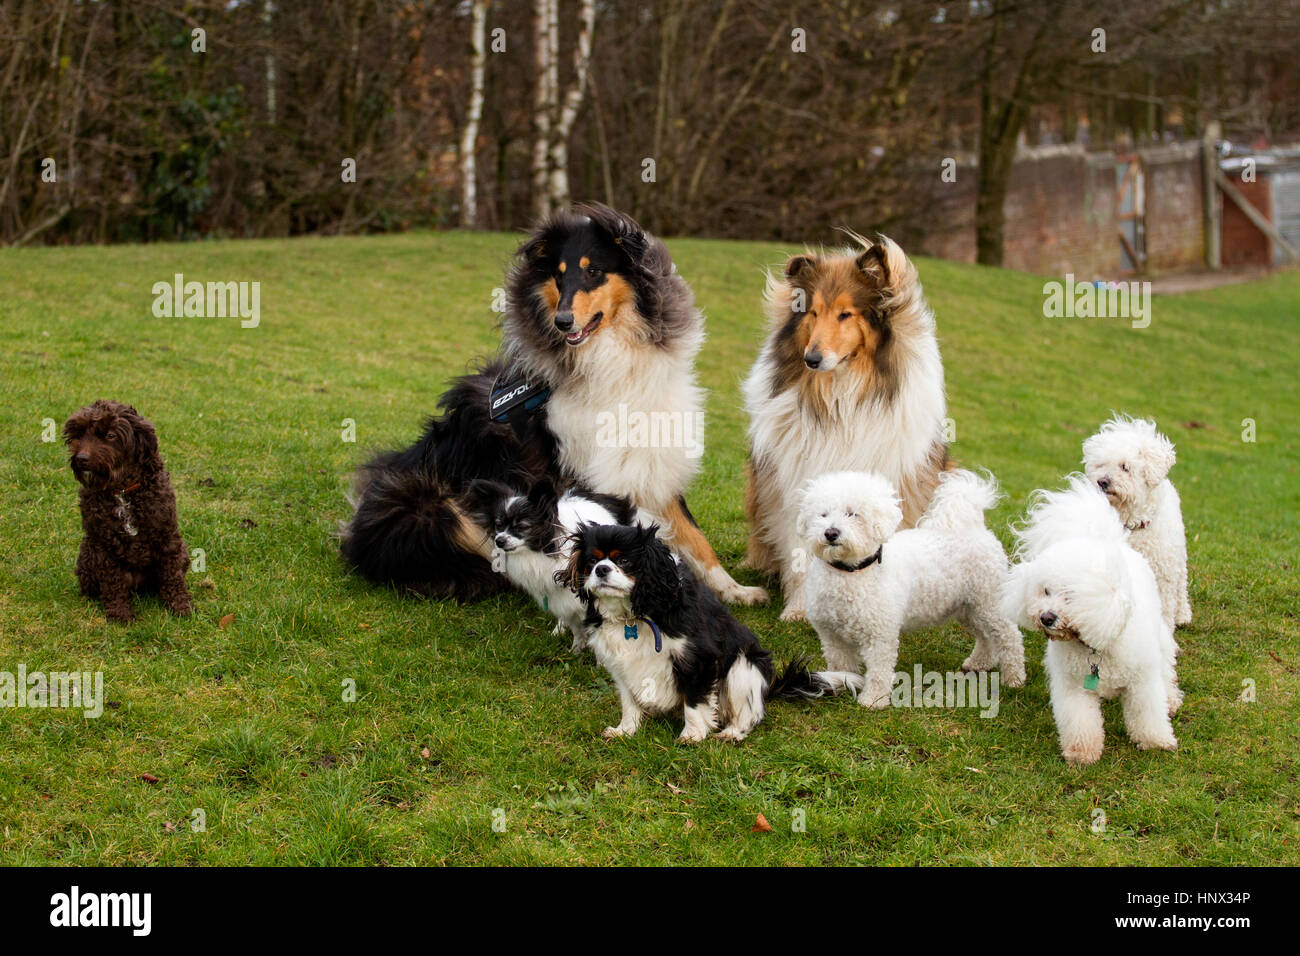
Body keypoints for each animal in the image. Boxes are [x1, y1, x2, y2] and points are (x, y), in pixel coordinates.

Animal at [65, 400, 192, 624]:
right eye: (79, 433)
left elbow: (173, 577)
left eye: (110, 435)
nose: (81, 458)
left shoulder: (167, 538)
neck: (123, 490)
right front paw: (120, 614)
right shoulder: (103, 546)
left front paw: (180, 605)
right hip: (86, 559)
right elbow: (113, 583)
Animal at [561, 522, 857, 738]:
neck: (632, 615)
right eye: (590, 562)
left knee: (750, 713)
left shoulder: (697, 657)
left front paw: (691, 735)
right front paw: (625, 730)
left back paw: (732, 733)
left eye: (623, 561)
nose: (601, 570)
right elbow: (629, 701)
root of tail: (770, 686)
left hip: (744, 666)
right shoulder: (621, 665)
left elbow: (694, 700)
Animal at [795, 470, 1029, 712]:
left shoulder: (880, 635)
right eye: (822, 514)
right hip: (968, 607)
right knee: (985, 636)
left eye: (853, 514)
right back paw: (980, 663)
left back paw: (1014, 678)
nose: (830, 533)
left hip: (989, 602)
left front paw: (873, 700)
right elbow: (840, 663)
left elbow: (878, 672)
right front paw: (839, 684)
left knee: (1010, 636)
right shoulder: (831, 635)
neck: (850, 572)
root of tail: (975, 528)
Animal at [998, 478, 1185, 770]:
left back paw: (1172, 699)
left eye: (1070, 595)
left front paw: (1156, 741)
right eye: (1045, 591)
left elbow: (1148, 712)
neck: (1093, 644)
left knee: (1166, 669)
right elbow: (1080, 721)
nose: (1046, 617)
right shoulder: (1073, 687)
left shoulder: (1142, 680)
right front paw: (1081, 753)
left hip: (1160, 637)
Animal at [1081, 413, 1190, 632]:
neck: (1130, 525)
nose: (1102, 481)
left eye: (1125, 467)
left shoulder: (1163, 576)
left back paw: (1183, 614)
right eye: (1100, 465)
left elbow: (1164, 609)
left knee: (1181, 582)